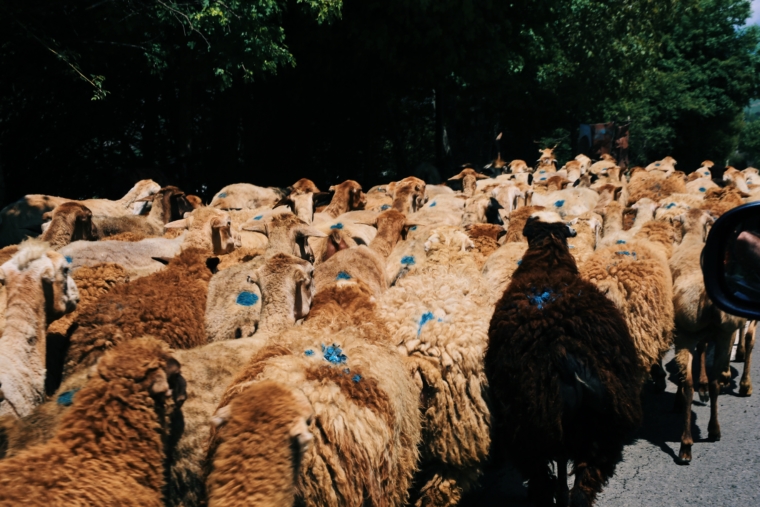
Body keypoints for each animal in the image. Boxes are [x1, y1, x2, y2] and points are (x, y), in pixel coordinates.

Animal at [486, 211, 640, 507]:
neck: (548, 263)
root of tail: (563, 355)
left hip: (530, 432)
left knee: (543, 481)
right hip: (601, 434)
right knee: (581, 488)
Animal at [668, 207, 744, 464]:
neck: (691, 238)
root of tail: (707, 297)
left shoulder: (691, 335)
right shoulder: (709, 334)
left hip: (684, 335)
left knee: (688, 384)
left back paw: (685, 444)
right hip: (724, 335)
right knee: (715, 381)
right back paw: (714, 430)